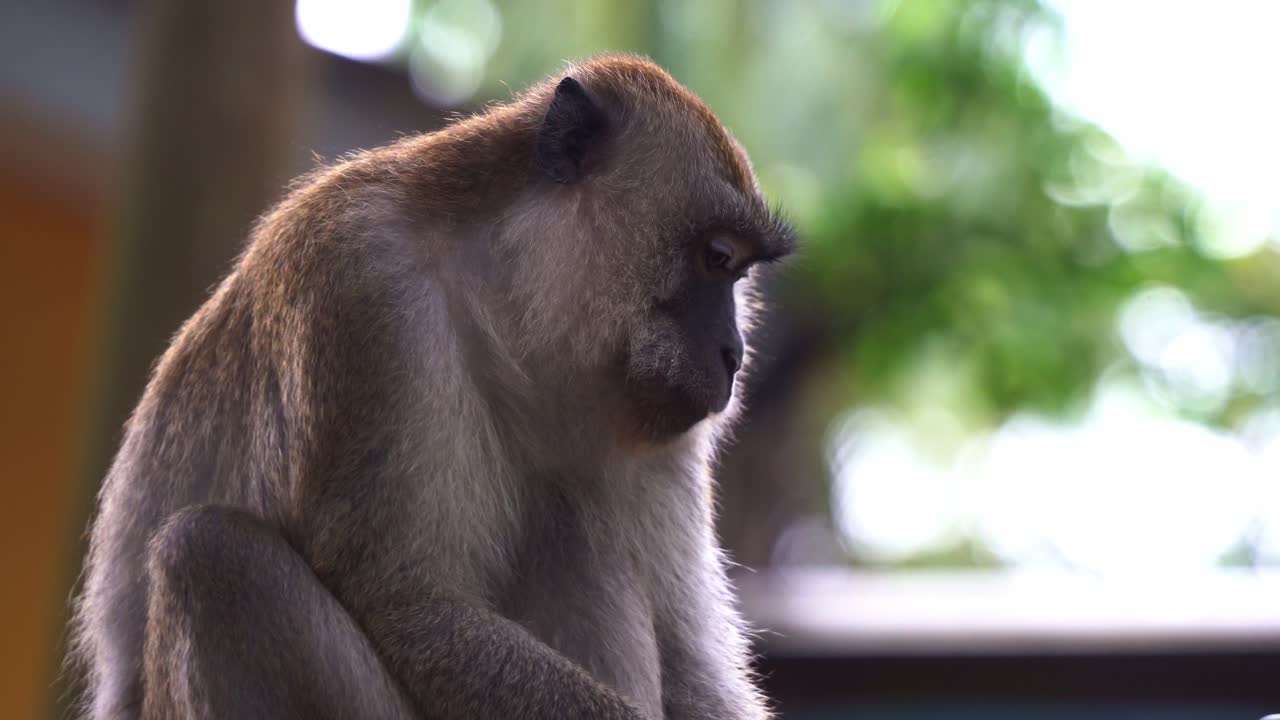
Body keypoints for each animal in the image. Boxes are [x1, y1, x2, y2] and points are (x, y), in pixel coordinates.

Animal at [67, 54, 796, 720]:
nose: (733, 355)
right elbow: (403, 596)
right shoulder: (362, 282)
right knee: (212, 555)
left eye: (738, 274)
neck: (509, 305)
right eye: (718, 258)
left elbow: (692, 668)